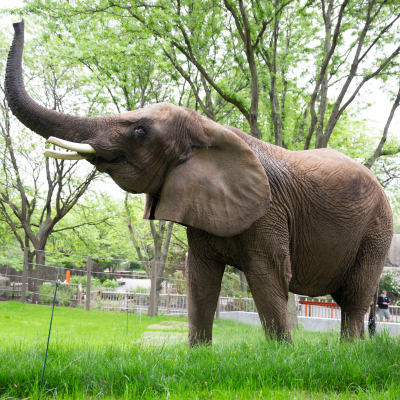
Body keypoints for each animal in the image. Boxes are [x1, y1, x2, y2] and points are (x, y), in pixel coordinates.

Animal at [4, 19, 392, 344]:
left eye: (140, 131)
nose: (17, 21)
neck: (207, 129)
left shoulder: (269, 213)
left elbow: (267, 277)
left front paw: (281, 355)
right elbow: (200, 278)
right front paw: (197, 354)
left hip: (377, 232)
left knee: (356, 297)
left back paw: (349, 352)